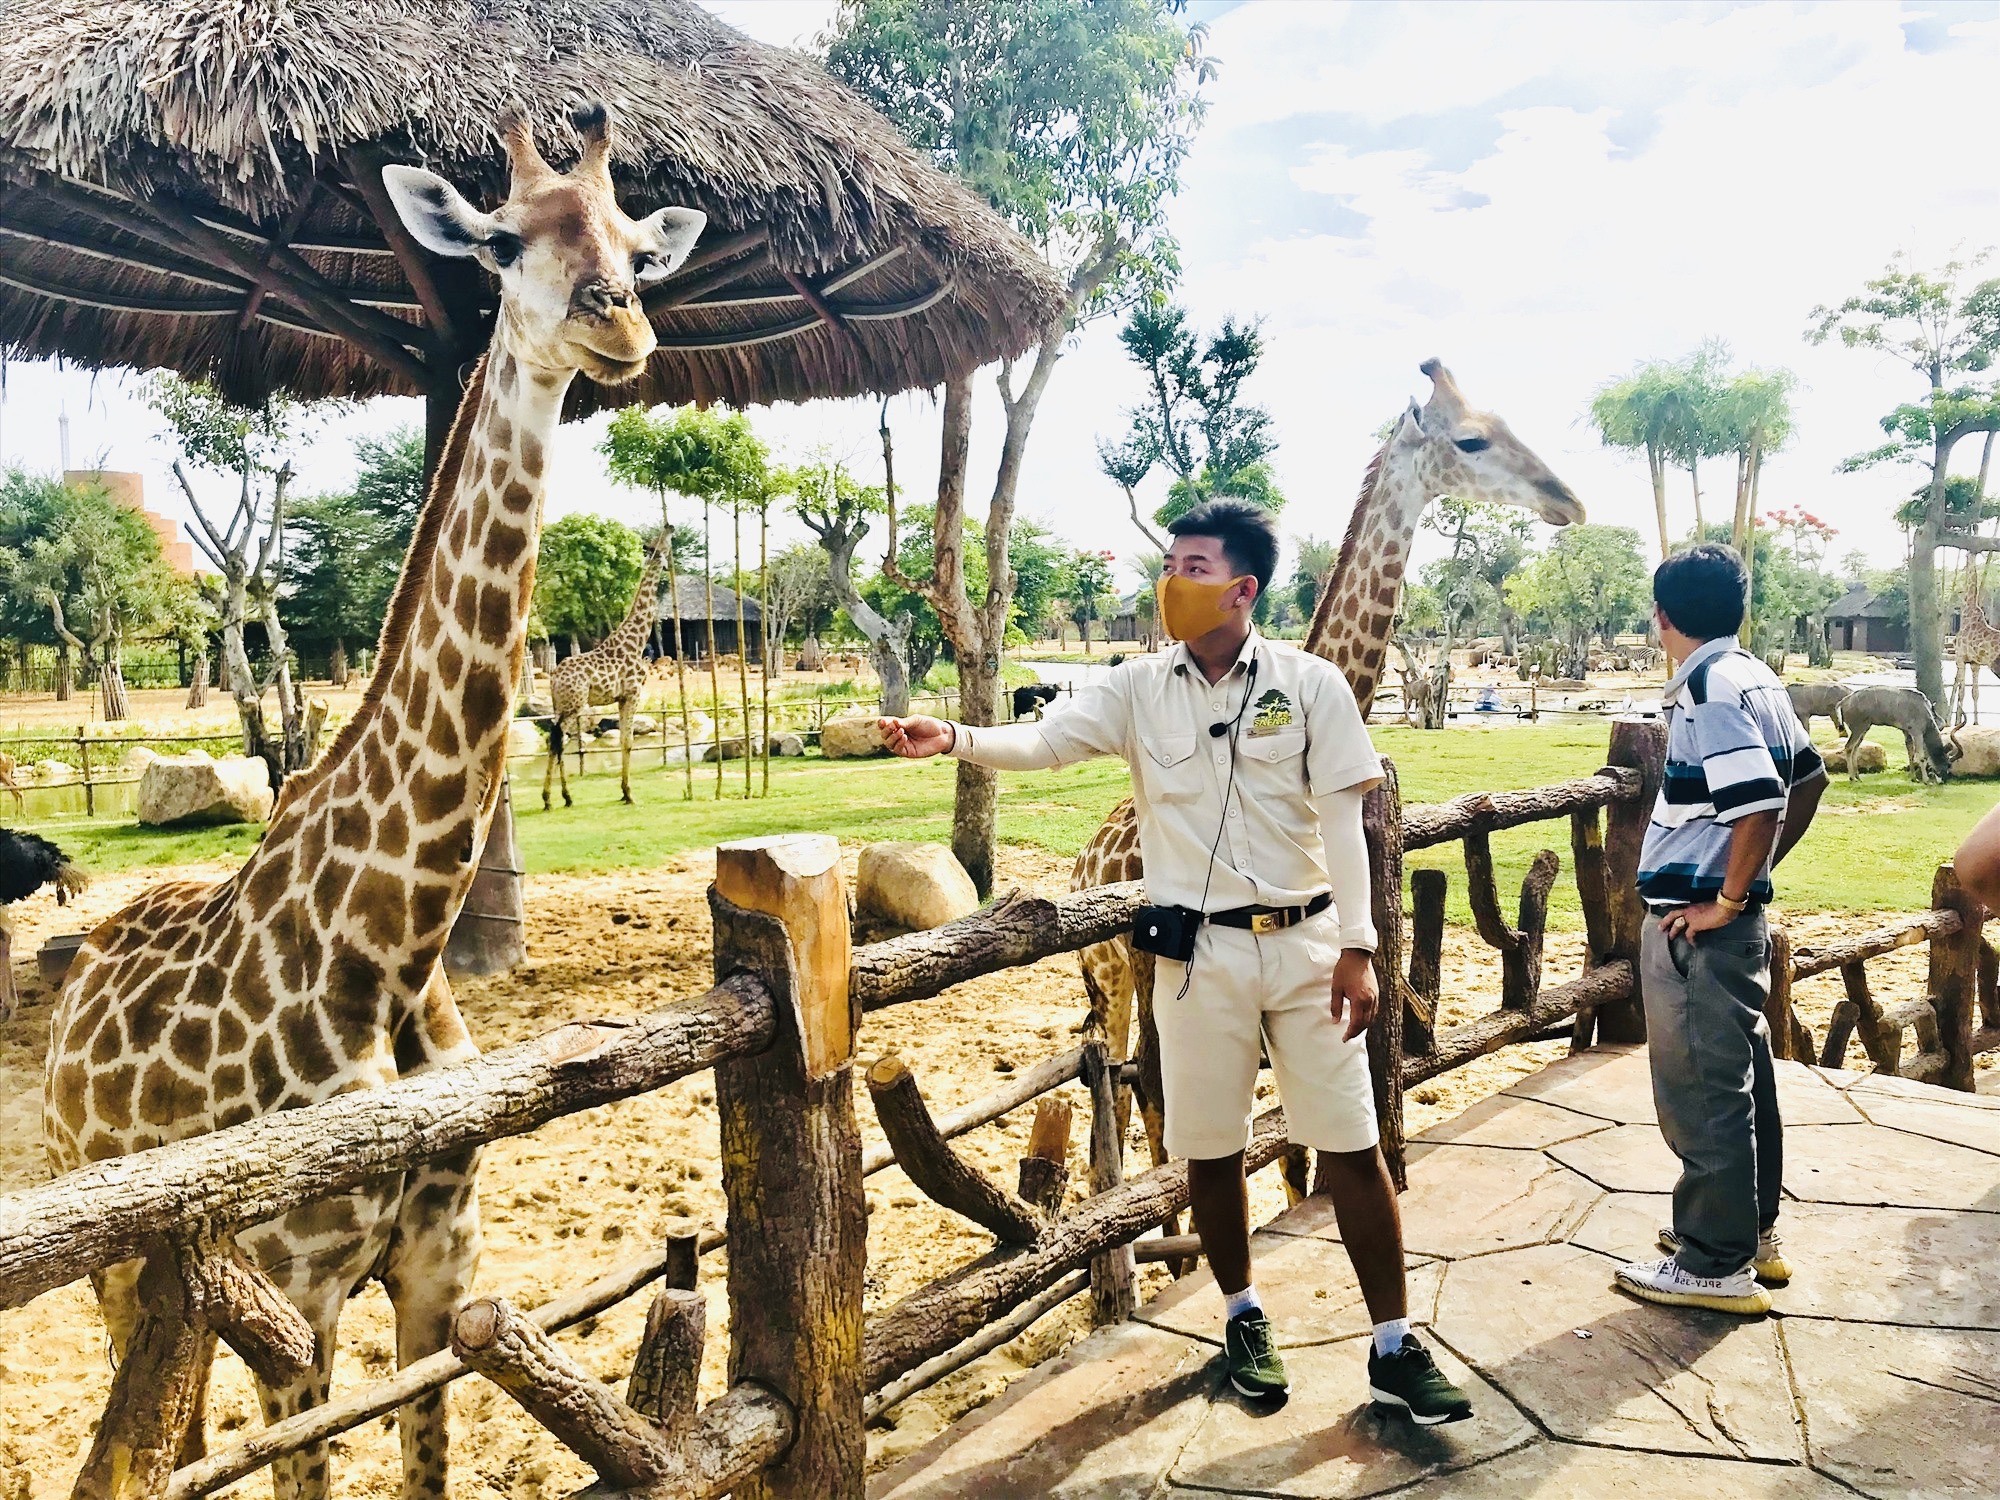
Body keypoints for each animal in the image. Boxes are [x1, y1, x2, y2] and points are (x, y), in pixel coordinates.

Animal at [540, 528, 672, 812]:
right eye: (662, 540)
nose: (672, 527)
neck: (636, 641)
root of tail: (554, 677)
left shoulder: (621, 697)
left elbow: (623, 740)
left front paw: (623, 792)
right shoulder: (633, 693)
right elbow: (628, 741)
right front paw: (629, 793)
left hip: (559, 705)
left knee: (555, 739)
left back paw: (557, 798)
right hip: (574, 705)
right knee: (558, 738)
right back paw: (558, 797)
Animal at [1072, 358, 1584, 1192]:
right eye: (1471, 439)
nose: (1566, 499)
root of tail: (1084, 864)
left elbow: (1297, 1134)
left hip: (1113, 979)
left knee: (1116, 1078)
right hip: (1126, 972)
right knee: (1142, 1083)